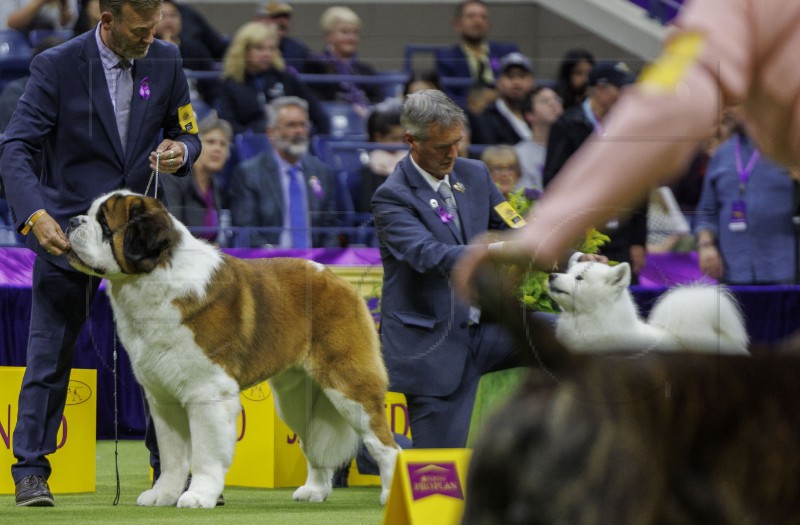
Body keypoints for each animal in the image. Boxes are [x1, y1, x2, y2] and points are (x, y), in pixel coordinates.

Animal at [64, 191, 400, 508]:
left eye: (104, 223)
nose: (71, 221)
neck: (153, 276)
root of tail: (338, 280)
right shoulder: (163, 400)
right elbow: (172, 457)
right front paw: (163, 495)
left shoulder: (207, 393)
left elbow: (204, 453)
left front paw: (199, 496)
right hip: (296, 399)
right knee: (312, 441)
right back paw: (315, 490)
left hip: (348, 385)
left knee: (383, 443)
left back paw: (390, 494)